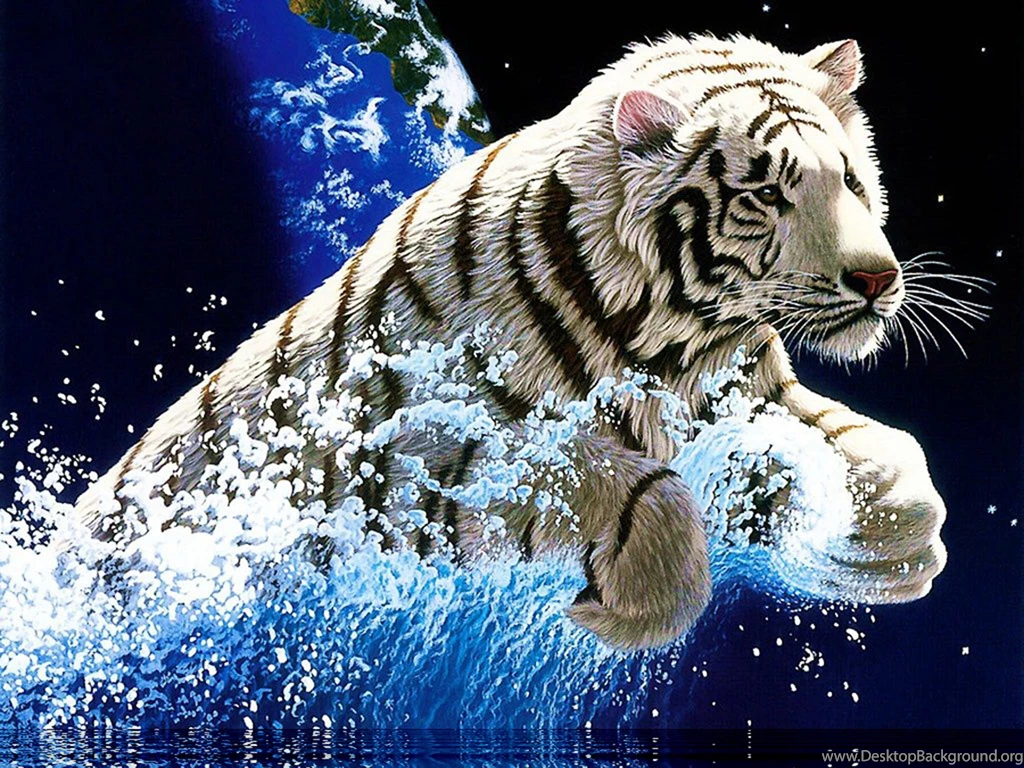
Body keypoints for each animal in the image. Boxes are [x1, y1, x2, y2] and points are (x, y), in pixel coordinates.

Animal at [74, 34, 947, 650]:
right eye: (766, 194)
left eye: (851, 181)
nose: (877, 279)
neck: (680, 338)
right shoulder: (419, 461)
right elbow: (630, 484)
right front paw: (623, 611)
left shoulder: (751, 394)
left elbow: (886, 453)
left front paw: (889, 544)